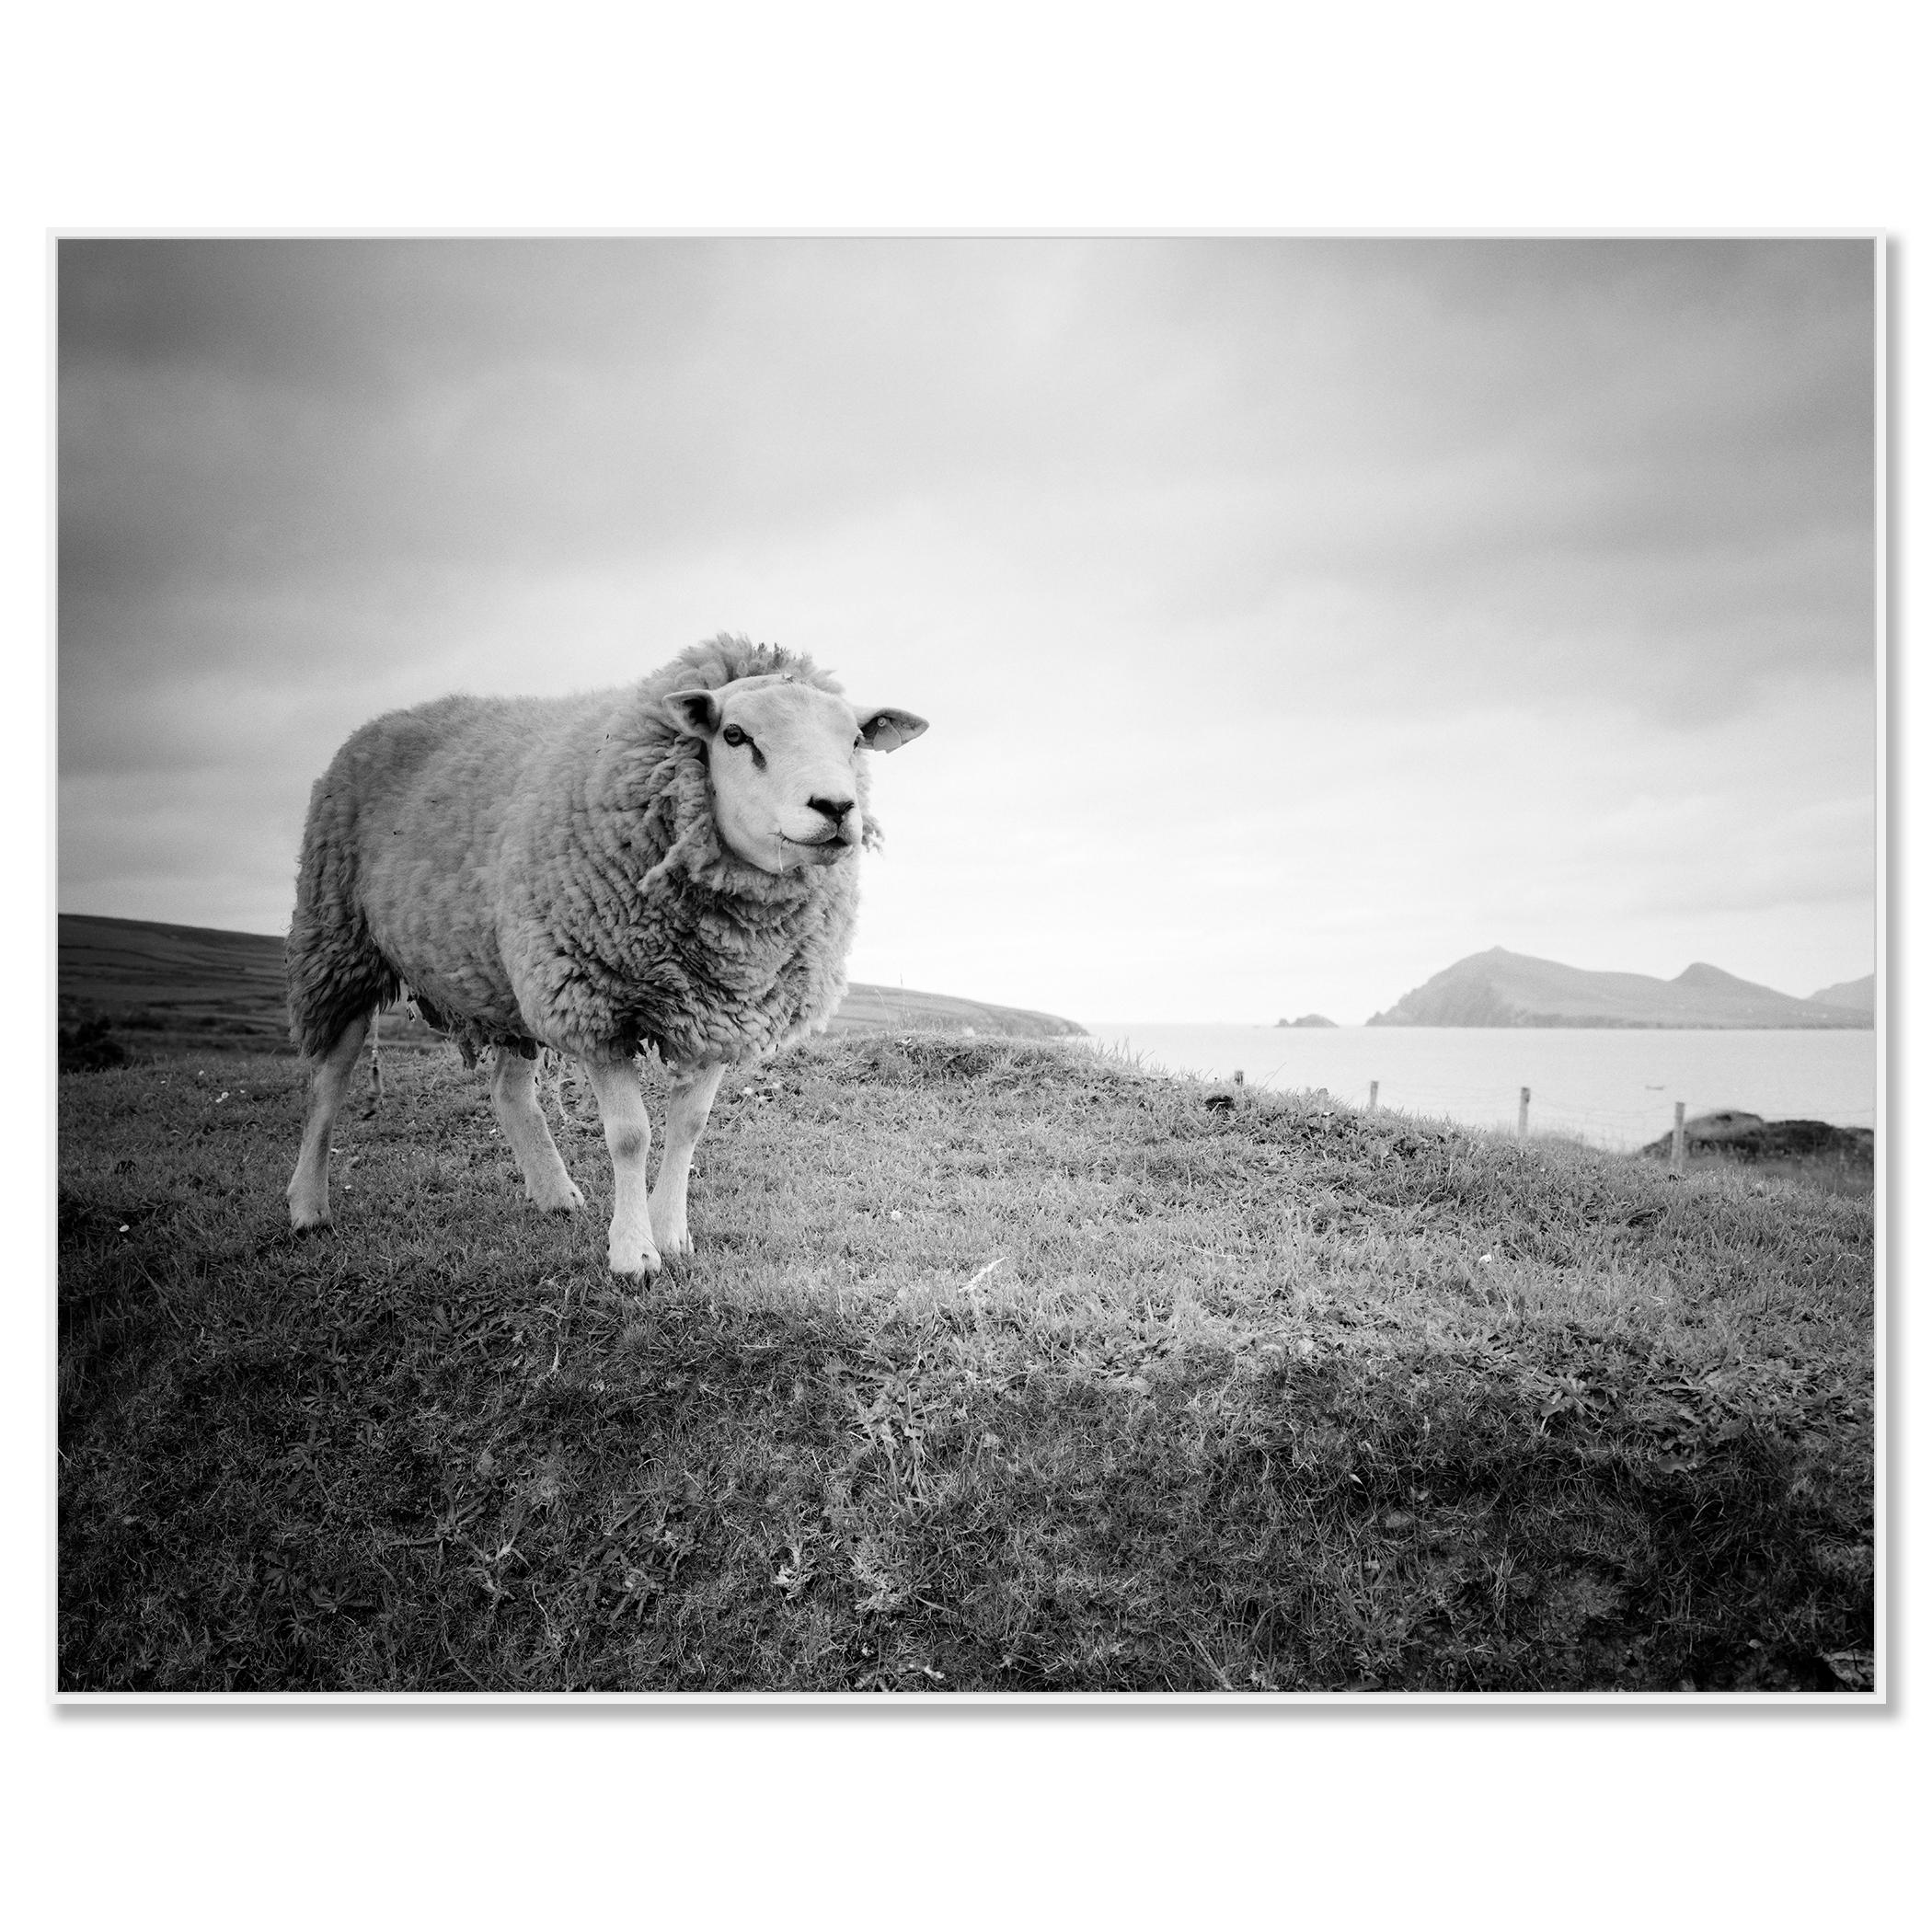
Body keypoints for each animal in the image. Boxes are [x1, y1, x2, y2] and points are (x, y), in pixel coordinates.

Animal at [284, 633, 927, 1276]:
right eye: (735, 735)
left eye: (854, 740)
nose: (836, 808)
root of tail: (380, 721)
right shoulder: (595, 1000)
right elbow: (629, 1135)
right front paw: (634, 1253)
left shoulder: (722, 1008)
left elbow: (689, 1125)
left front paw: (673, 1235)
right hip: (340, 939)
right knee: (329, 1081)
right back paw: (308, 1207)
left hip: (513, 974)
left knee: (509, 1091)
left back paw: (554, 1195)